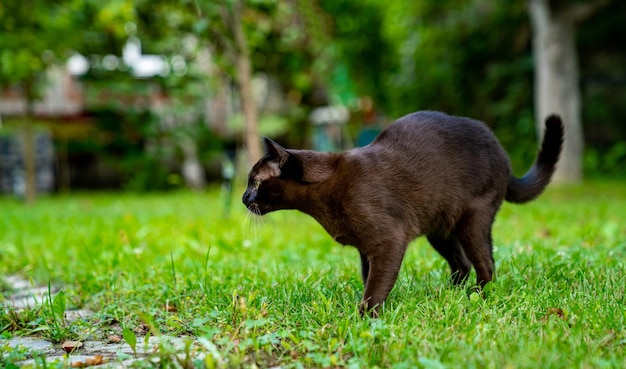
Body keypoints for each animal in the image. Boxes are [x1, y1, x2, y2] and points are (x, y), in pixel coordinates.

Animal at [240, 109, 560, 314]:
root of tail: (502, 154)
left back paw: (477, 297)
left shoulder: (388, 242)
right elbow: (368, 278)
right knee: (462, 264)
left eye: (254, 182)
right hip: (439, 231)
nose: (243, 198)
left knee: (486, 265)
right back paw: (447, 294)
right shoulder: (366, 250)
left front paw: (365, 317)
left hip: (473, 220)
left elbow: (376, 285)